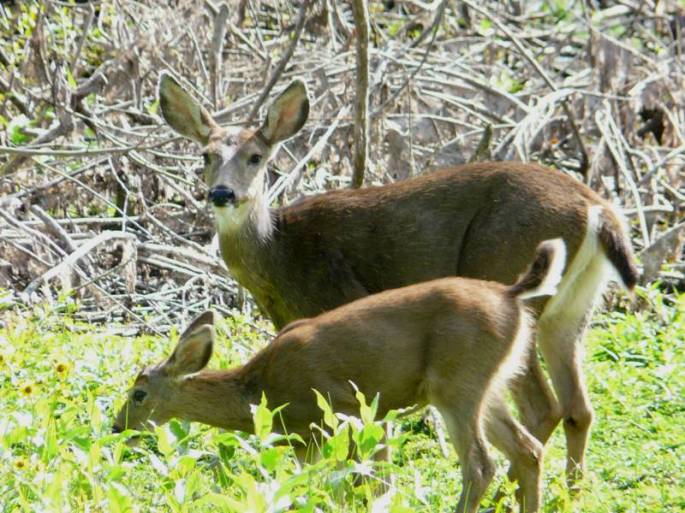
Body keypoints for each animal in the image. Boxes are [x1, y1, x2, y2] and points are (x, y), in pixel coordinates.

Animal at [113, 239, 568, 513]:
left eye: (138, 393)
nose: (117, 427)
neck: (261, 391)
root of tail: (510, 295)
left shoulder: (346, 408)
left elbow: (363, 485)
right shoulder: (310, 439)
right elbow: (328, 486)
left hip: (456, 384)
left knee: (480, 463)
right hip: (487, 385)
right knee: (527, 449)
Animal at [157, 73, 639, 486]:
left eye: (256, 157)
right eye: (206, 156)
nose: (222, 193)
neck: (279, 255)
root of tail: (598, 210)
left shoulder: (338, 308)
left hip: (506, 273)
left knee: (541, 407)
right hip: (573, 309)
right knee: (578, 407)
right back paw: (569, 491)